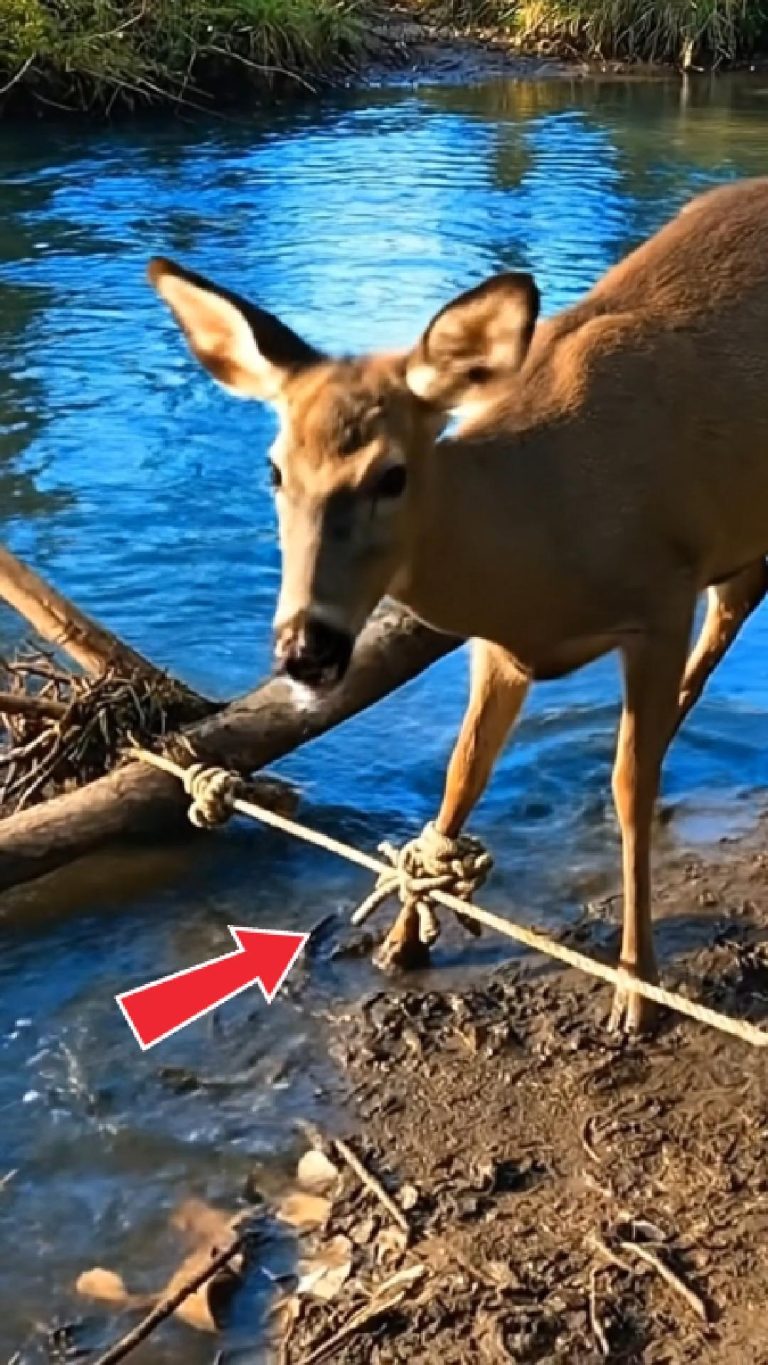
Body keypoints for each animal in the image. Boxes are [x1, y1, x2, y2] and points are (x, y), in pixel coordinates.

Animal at [148, 176, 768, 1034]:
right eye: (274, 470)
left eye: (392, 475)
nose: (307, 647)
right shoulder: (498, 648)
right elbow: (461, 774)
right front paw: (403, 936)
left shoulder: (662, 595)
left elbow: (630, 785)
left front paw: (635, 990)